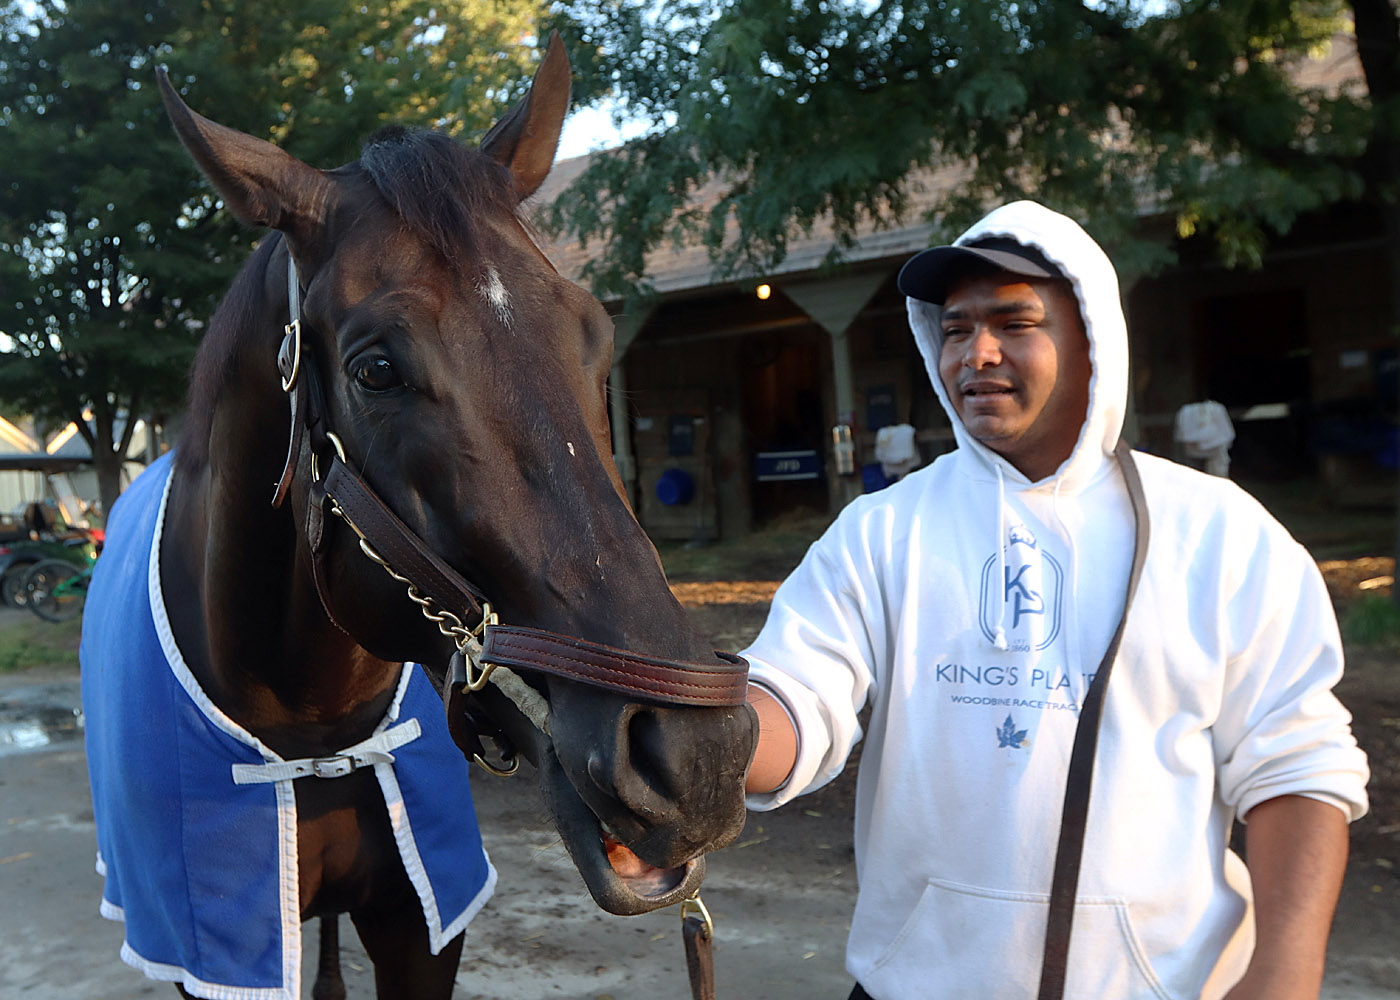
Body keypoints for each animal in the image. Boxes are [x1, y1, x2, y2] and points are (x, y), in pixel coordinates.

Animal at [79, 33, 757, 1000]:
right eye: (376, 370)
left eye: (593, 334)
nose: (697, 755)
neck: (310, 729)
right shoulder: (215, 958)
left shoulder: (423, 923)